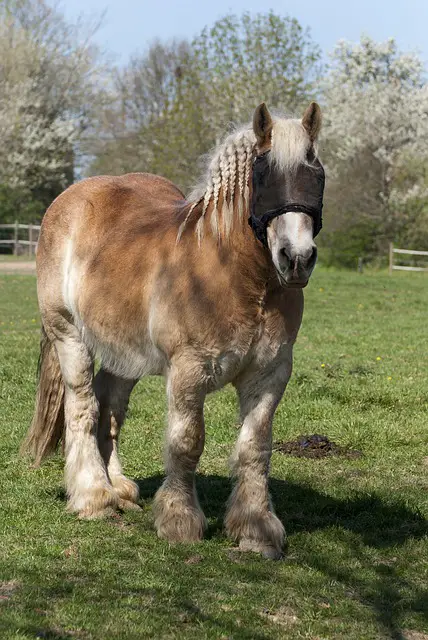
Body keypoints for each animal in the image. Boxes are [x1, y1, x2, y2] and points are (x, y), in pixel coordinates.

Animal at [22, 101, 324, 560]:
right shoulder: (189, 370)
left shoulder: (270, 374)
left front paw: (256, 529)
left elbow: (255, 447)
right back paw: (93, 496)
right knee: (83, 407)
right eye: (263, 175)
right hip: (69, 336)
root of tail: (70, 199)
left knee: (110, 408)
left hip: (123, 354)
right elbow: (187, 442)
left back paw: (119, 488)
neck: (240, 278)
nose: (297, 259)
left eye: (317, 174)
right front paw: (179, 521)